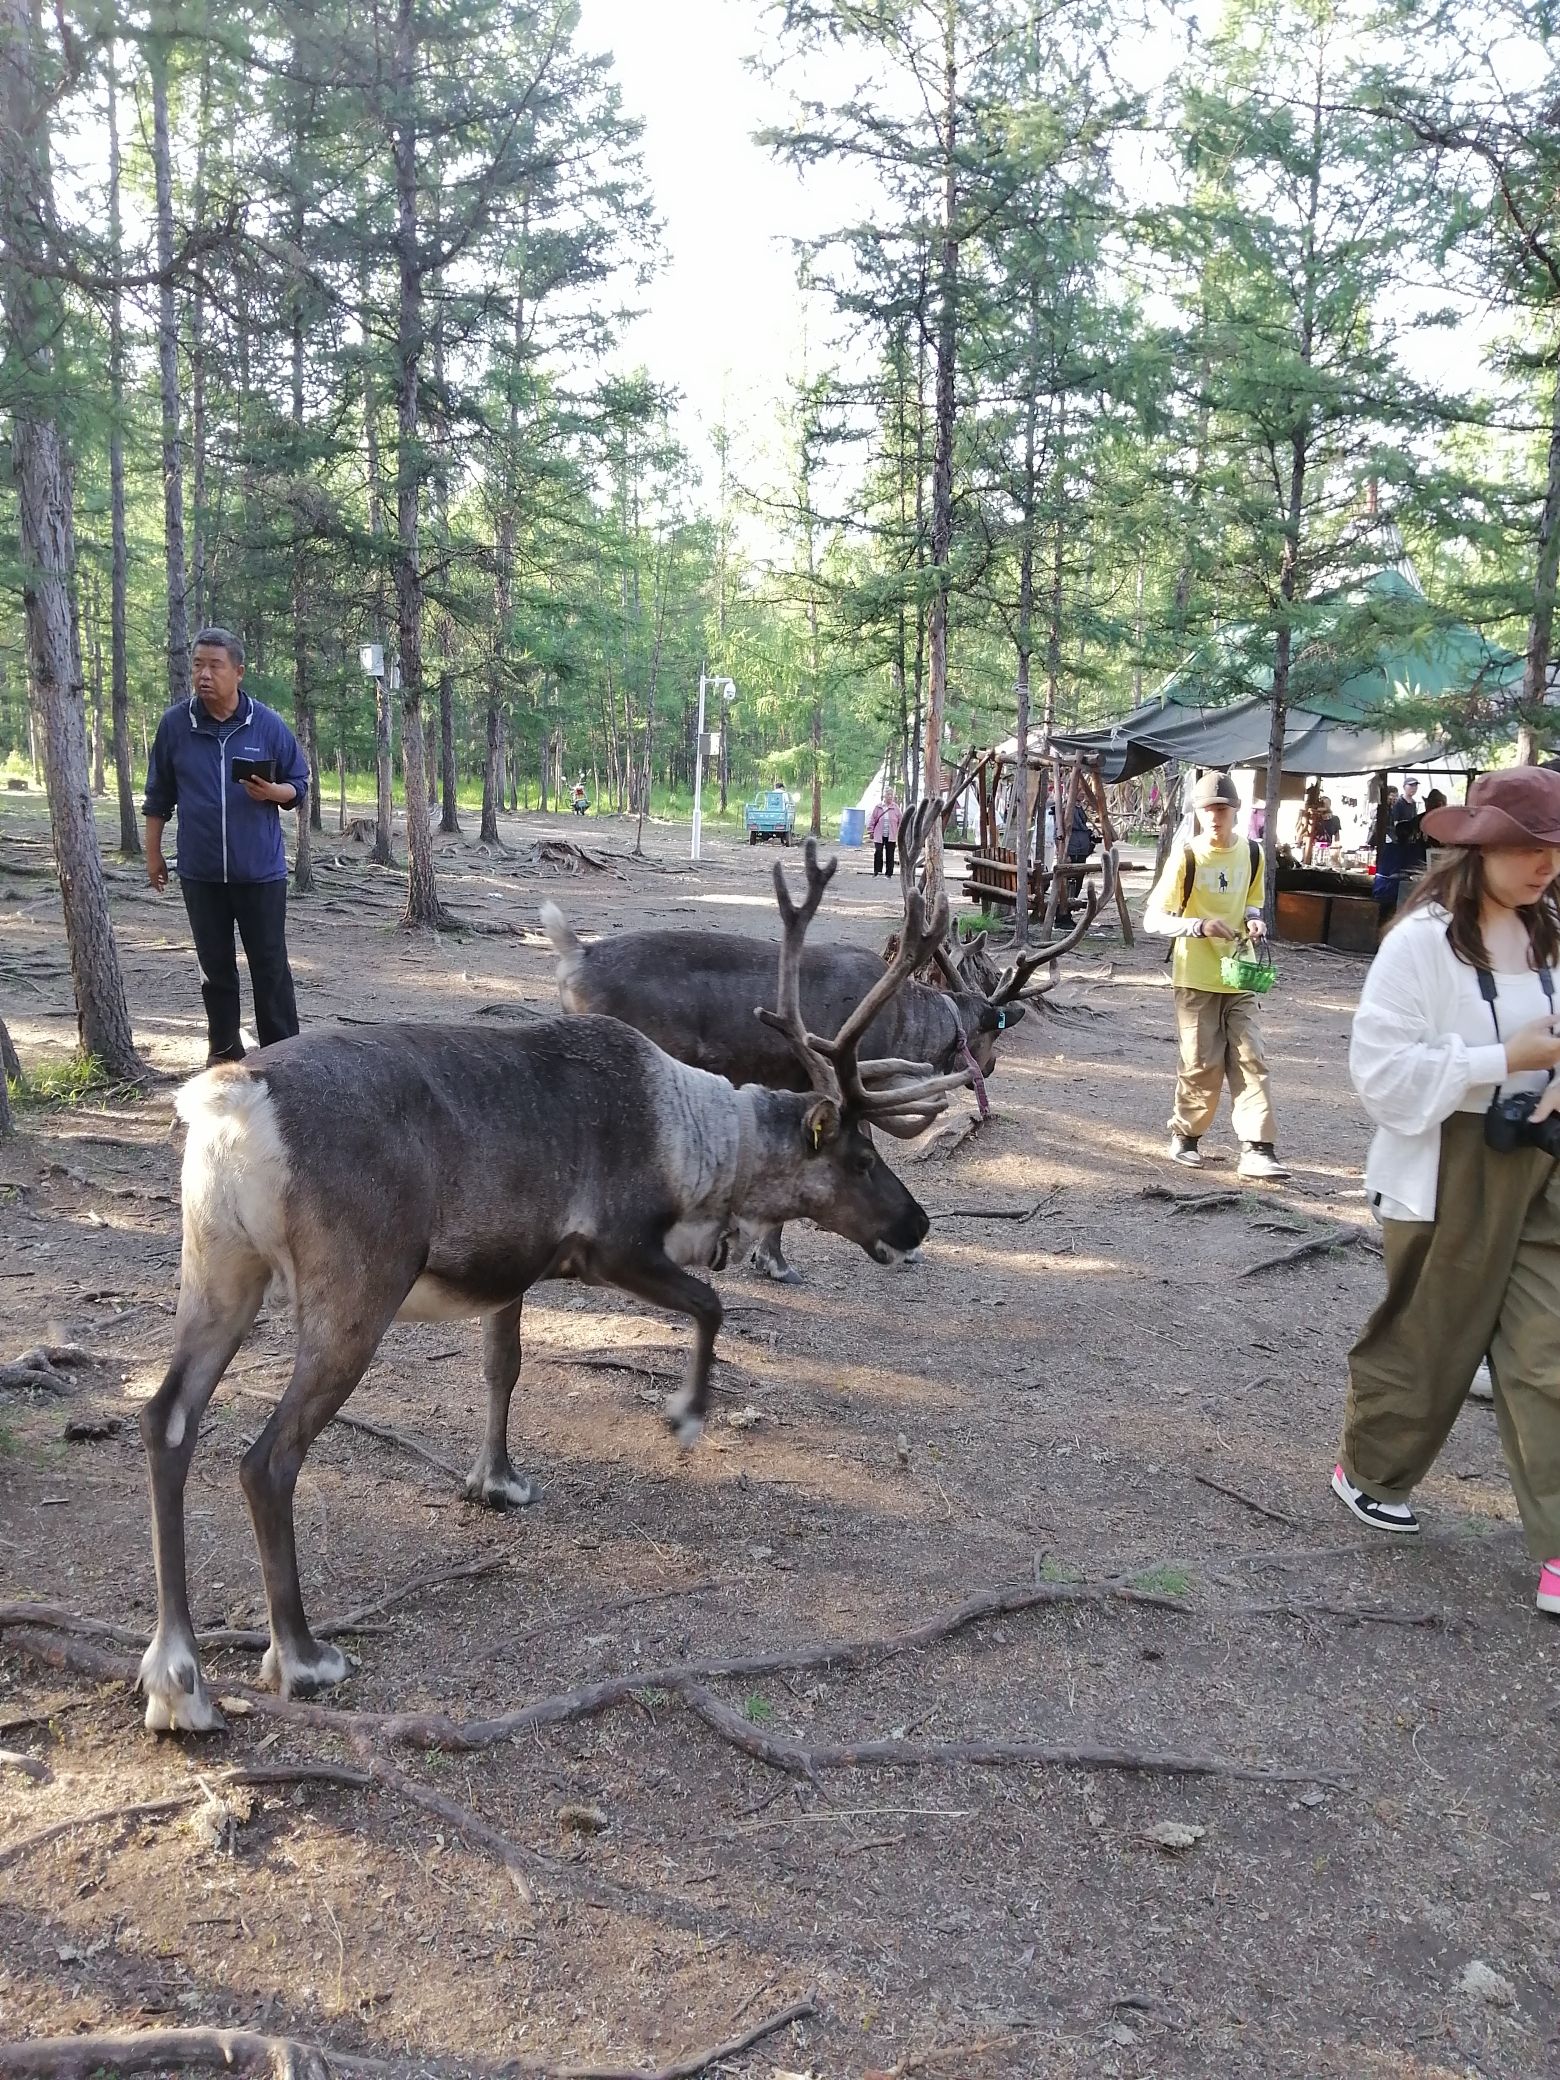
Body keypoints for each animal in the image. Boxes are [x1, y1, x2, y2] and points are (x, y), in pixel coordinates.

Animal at [136, 847, 965, 1734]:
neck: (701, 1144)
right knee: (267, 1459)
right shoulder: (612, 1246)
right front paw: (685, 1415)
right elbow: (710, 1306)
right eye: (860, 1158)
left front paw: (496, 1482)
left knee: (166, 1420)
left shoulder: (509, 1270)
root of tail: (231, 1101)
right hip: (355, 1289)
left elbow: (504, 1368)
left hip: (219, 1268)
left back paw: (177, 1678)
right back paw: (300, 1655)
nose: (917, 1223)